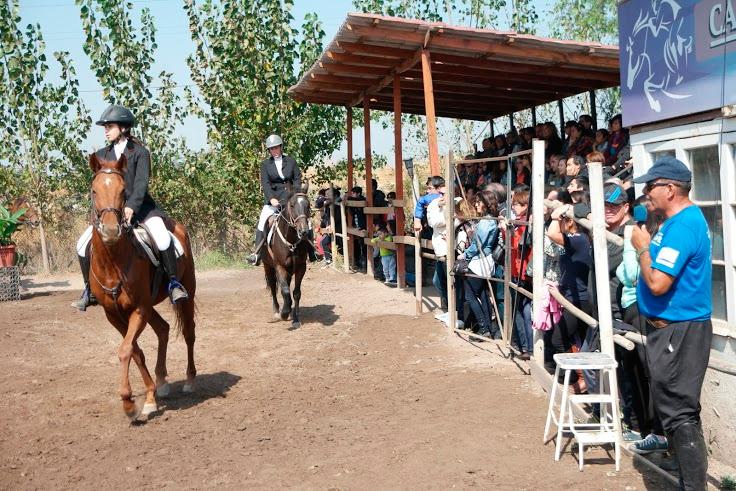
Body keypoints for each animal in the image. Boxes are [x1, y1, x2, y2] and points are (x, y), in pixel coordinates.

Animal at [88, 154, 197, 418]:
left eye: (123, 191)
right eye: (94, 190)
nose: (110, 230)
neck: (113, 261)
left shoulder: (139, 310)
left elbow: (126, 350)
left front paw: (129, 403)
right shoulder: (114, 315)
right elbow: (135, 351)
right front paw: (149, 397)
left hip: (186, 293)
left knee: (189, 333)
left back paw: (189, 380)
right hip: (149, 307)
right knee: (163, 329)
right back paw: (162, 382)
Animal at [262, 187, 310, 330]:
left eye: (308, 205)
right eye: (292, 205)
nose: (304, 232)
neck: (291, 241)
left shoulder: (300, 268)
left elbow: (295, 293)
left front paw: (295, 319)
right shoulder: (279, 267)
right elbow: (285, 292)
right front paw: (284, 313)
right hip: (267, 266)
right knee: (273, 286)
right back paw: (277, 312)